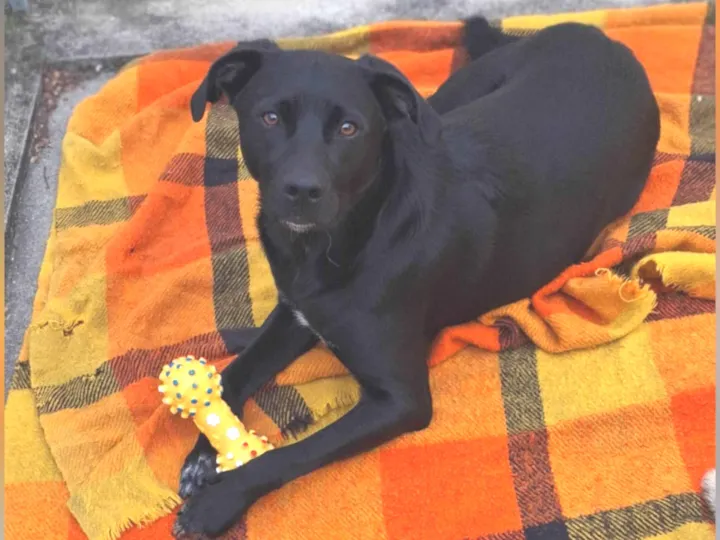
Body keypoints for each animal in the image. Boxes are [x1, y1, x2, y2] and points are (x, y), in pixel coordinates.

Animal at [173, 18, 660, 537]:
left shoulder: (400, 399)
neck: (344, 239)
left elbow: (290, 455)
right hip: (445, 103)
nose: (302, 191)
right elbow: (232, 375)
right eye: (269, 118)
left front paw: (218, 501)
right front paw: (203, 454)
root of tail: (593, 32)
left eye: (349, 128)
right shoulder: (296, 313)